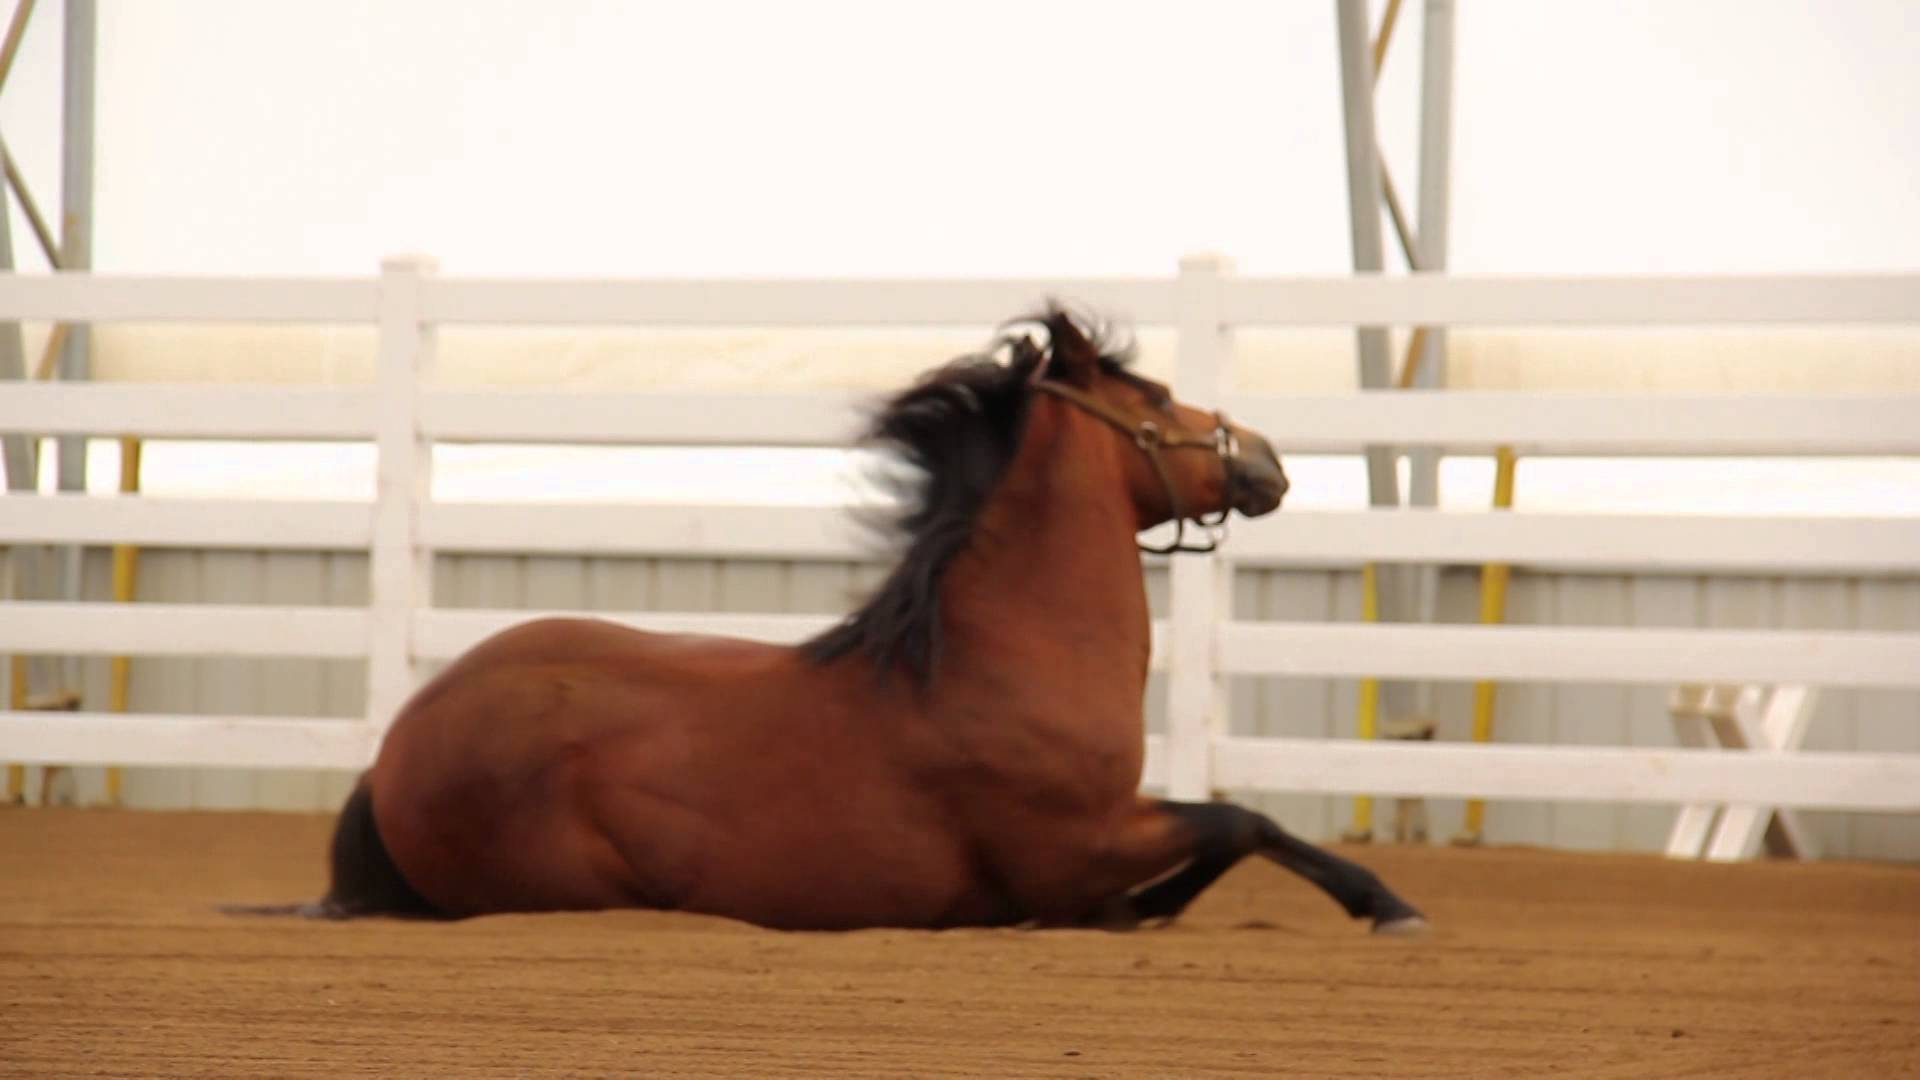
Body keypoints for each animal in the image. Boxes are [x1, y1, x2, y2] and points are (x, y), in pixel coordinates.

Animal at [243, 305, 1428, 933]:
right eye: (1155, 402)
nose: (1265, 459)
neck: (1000, 658)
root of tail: (396, 748)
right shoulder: (1075, 838)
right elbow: (1241, 821)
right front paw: (1383, 901)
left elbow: (1228, 834)